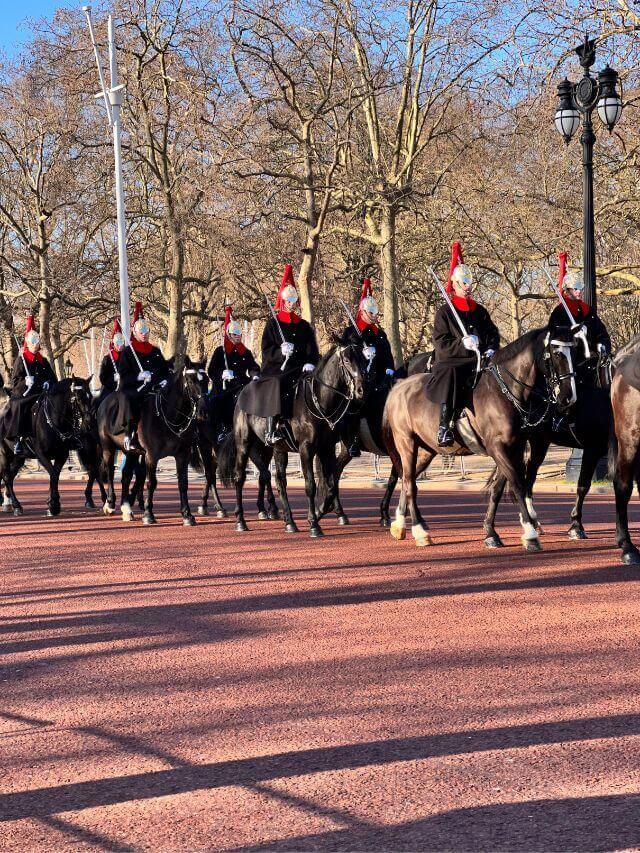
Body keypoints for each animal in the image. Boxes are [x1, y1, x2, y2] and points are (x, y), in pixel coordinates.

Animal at [0, 378, 94, 512]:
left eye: (90, 396)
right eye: (78, 397)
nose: (89, 423)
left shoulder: (62, 455)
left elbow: (55, 475)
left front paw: (52, 502)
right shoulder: (41, 455)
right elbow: (53, 475)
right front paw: (53, 504)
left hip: (19, 457)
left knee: (10, 477)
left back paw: (12, 504)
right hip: (4, 454)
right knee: (7, 477)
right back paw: (15, 505)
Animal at [99, 356, 204, 524]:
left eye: (206, 379)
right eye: (191, 380)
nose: (203, 411)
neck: (170, 416)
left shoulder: (183, 455)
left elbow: (183, 483)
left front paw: (187, 515)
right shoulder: (151, 456)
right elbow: (151, 482)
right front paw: (148, 514)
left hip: (130, 452)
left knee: (126, 475)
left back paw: (126, 509)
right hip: (108, 447)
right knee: (109, 471)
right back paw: (109, 504)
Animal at [220, 342, 370, 536]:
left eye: (363, 358)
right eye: (346, 360)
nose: (361, 390)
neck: (319, 402)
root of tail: (241, 394)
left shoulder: (326, 448)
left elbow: (331, 484)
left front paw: (321, 512)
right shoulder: (306, 449)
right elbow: (310, 485)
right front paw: (314, 523)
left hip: (275, 449)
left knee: (278, 480)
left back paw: (289, 521)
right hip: (243, 443)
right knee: (240, 477)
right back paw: (240, 520)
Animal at [382, 326, 576, 552]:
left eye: (574, 351)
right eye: (557, 353)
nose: (568, 397)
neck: (506, 392)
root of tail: (398, 388)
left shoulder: (514, 447)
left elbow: (498, 489)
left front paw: (491, 532)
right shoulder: (498, 447)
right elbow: (517, 484)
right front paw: (530, 534)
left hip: (425, 451)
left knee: (407, 480)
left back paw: (400, 525)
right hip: (407, 444)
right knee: (410, 483)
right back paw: (420, 531)